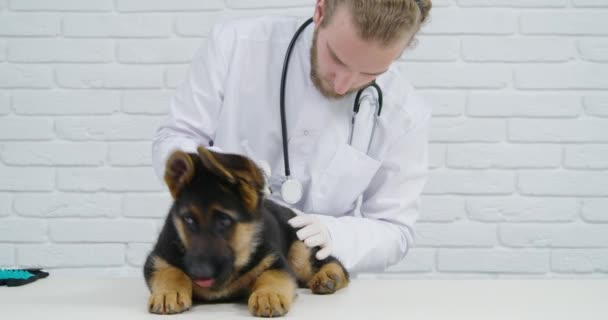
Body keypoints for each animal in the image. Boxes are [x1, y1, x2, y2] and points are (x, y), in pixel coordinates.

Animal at [143, 148, 350, 318]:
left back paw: (329, 276)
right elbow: (170, 271)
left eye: (224, 220)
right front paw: (168, 293)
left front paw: (268, 295)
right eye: (188, 220)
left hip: (300, 251)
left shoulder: (275, 260)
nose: (199, 273)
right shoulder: (157, 258)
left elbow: (272, 276)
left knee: (334, 263)